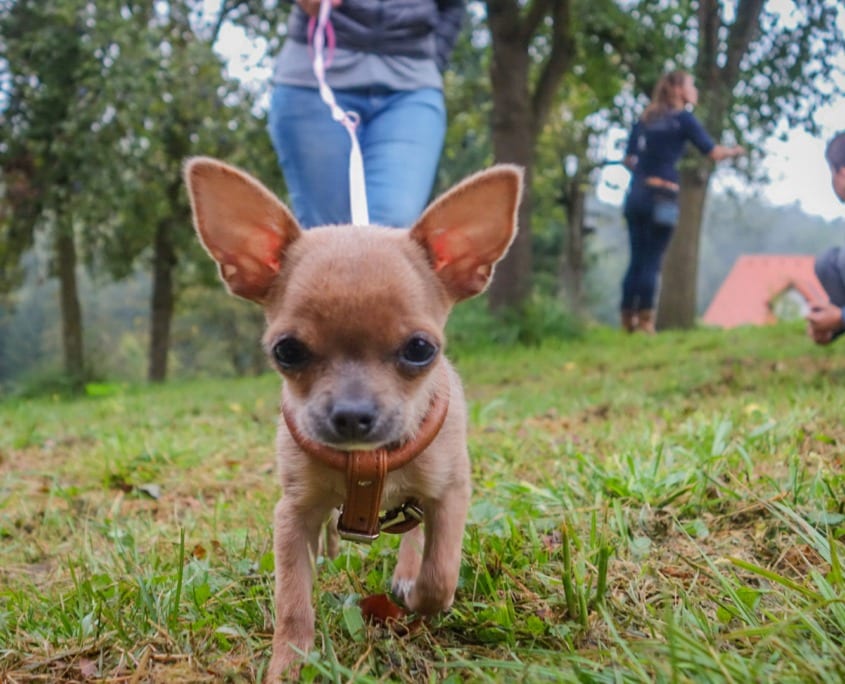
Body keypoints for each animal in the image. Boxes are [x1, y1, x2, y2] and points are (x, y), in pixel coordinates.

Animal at [185, 159, 520, 680]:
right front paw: (289, 664)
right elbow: (292, 601)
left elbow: (440, 574)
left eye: (420, 349)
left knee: (415, 539)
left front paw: (417, 595)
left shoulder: (450, 494)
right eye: (286, 351)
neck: (366, 462)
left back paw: (405, 574)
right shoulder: (292, 514)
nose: (351, 414)